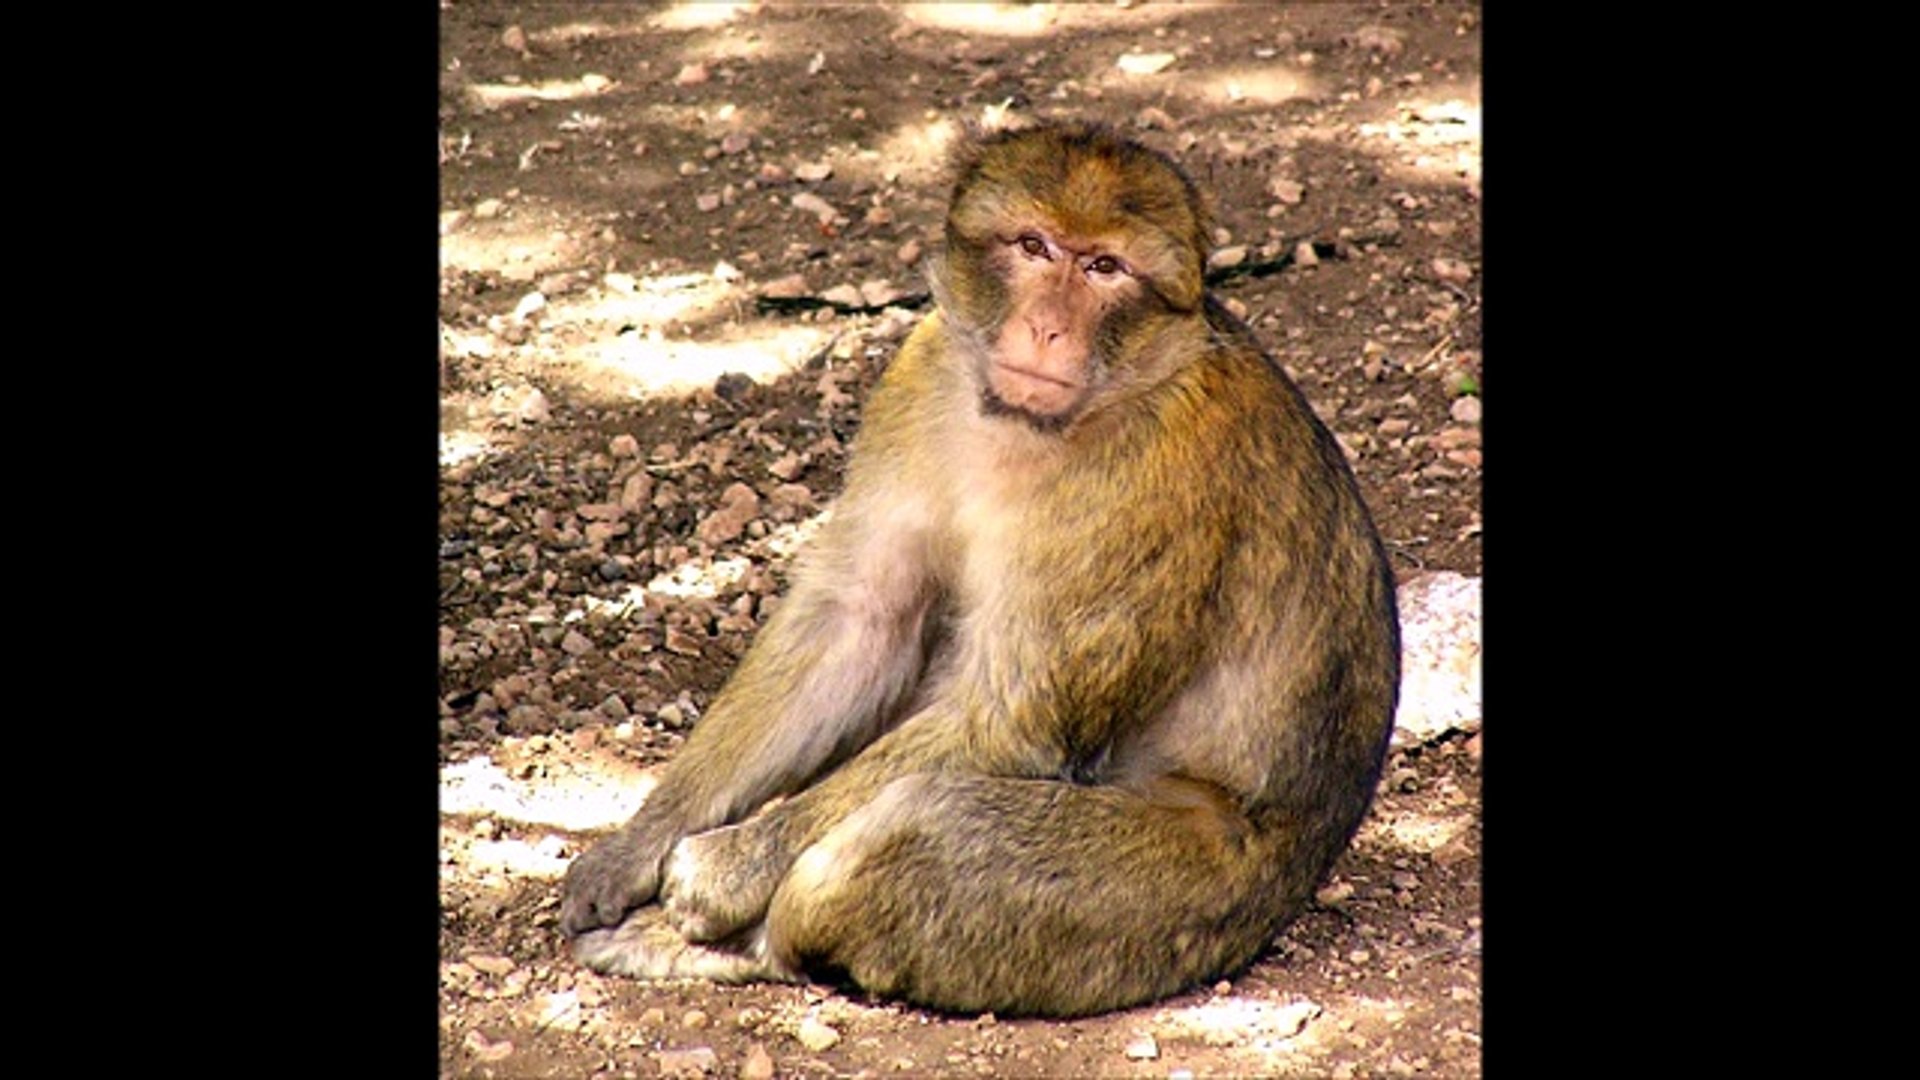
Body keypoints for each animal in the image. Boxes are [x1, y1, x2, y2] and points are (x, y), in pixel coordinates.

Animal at [561, 122, 1401, 1018]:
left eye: (1104, 267)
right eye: (1034, 247)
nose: (1048, 330)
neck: (1047, 424)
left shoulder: (1159, 479)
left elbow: (1008, 721)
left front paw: (725, 869)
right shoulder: (920, 371)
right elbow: (860, 622)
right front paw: (638, 844)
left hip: (1193, 895)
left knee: (907, 833)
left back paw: (750, 948)